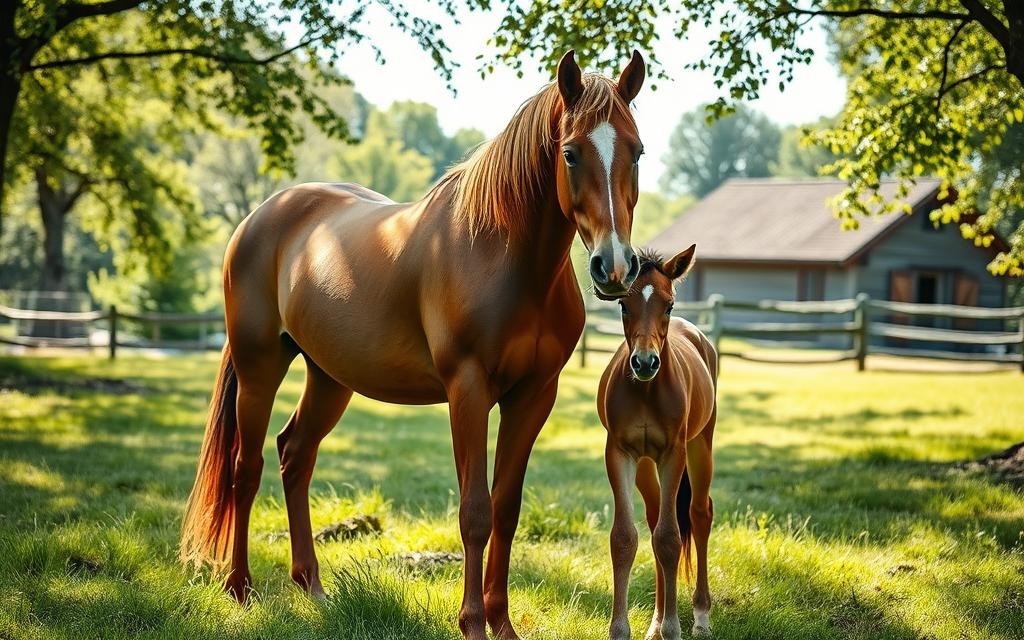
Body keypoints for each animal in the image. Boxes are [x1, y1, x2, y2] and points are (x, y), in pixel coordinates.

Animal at [183, 49, 647, 638]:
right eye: (570, 152)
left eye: (637, 151)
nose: (615, 267)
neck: (506, 258)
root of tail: (260, 216)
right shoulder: (467, 391)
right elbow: (475, 513)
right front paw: (472, 622)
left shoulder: (534, 396)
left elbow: (506, 508)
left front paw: (502, 622)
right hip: (259, 366)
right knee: (247, 470)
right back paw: (240, 589)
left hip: (329, 378)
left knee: (295, 455)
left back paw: (312, 586)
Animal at [598, 243, 716, 638]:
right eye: (623, 305)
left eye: (669, 305)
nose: (645, 363)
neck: (647, 392)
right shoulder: (619, 453)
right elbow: (625, 538)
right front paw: (621, 629)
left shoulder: (673, 454)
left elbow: (669, 539)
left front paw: (673, 628)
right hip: (647, 465)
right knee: (653, 521)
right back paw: (654, 621)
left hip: (700, 446)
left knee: (698, 514)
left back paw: (700, 616)